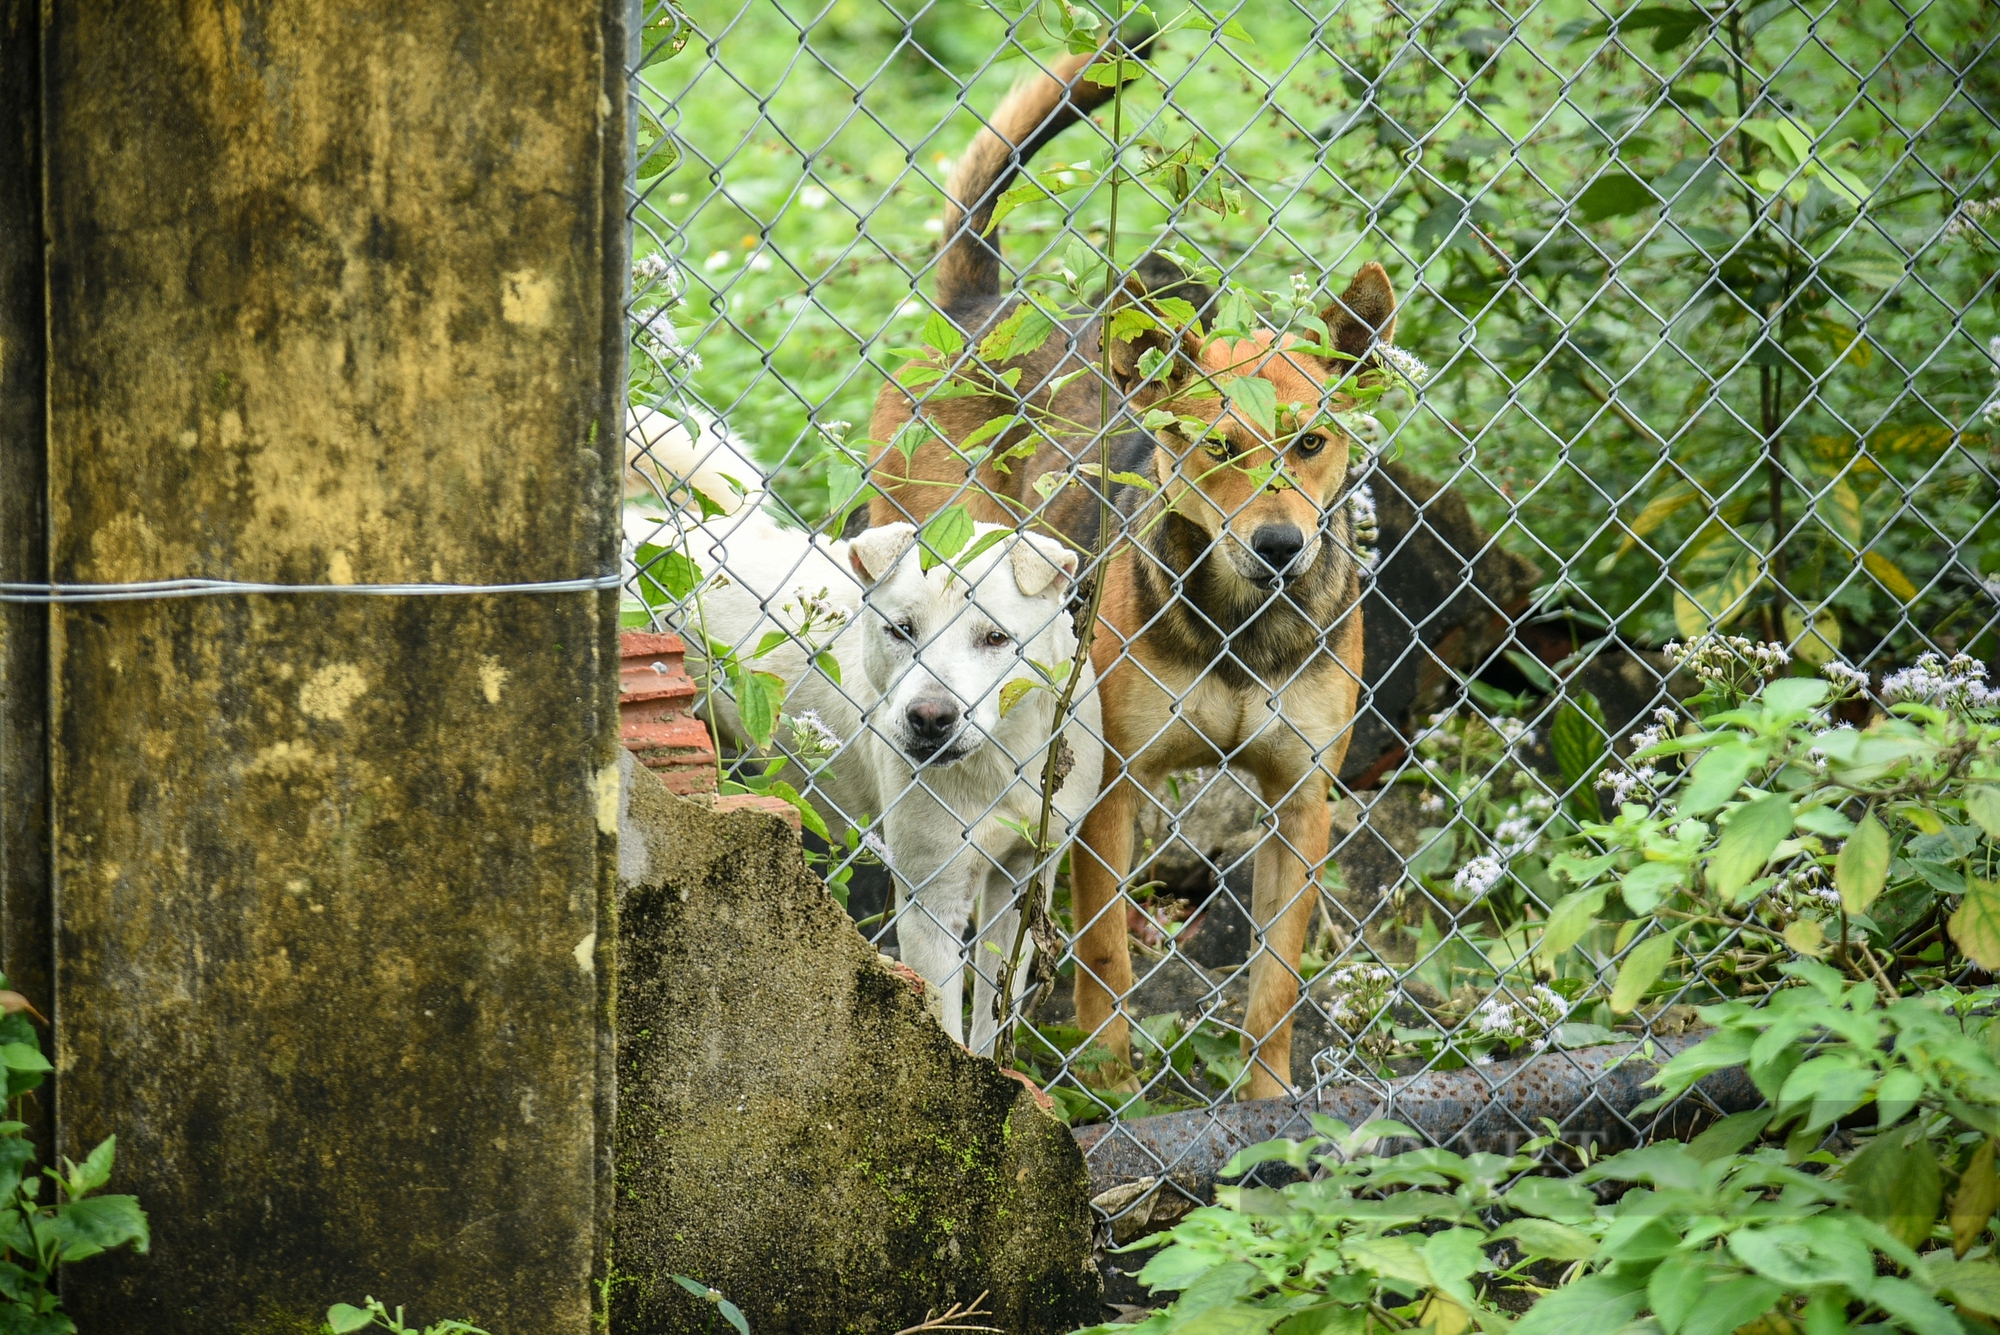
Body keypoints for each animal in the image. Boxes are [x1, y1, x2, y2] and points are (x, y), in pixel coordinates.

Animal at [624, 413, 1104, 1055]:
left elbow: (991, 1016)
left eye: (995, 638)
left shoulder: (1026, 879)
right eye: (901, 630)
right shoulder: (932, 900)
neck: (999, 759)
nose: (930, 717)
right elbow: (947, 1024)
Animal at [868, 52, 1400, 1103]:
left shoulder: (1299, 805)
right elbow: (1109, 953)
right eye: (1214, 446)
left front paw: (1267, 1102)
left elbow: (1274, 986)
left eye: (1312, 442)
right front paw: (1108, 1088)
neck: (1239, 623)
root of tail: (978, 305)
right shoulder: (1108, 790)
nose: (1280, 546)